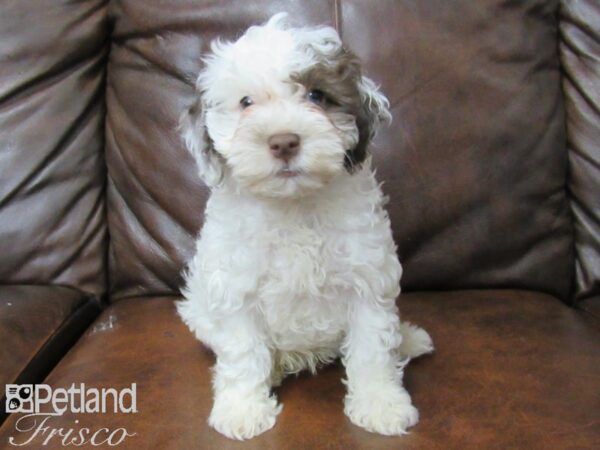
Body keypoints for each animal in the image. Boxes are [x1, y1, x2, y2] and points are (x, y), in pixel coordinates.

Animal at [176, 13, 434, 440]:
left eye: (317, 95)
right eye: (246, 103)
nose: (284, 142)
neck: (294, 206)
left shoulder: (367, 278)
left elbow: (373, 348)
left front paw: (381, 404)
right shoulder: (236, 288)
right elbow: (243, 351)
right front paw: (243, 409)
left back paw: (409, 339)